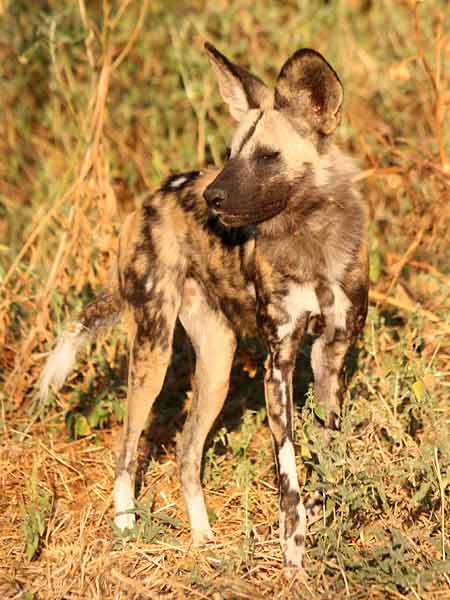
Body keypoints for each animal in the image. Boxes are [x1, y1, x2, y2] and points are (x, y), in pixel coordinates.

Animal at [39, 42, 370, 568]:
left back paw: (202, 538)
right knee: (127, 448)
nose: (213, 196)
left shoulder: (330, 358)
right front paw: (293, 553)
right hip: (152, 352)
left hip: (217, 365)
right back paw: (127, 529)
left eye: (268, 157)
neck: (311, 241)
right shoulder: (279, 365)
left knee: (187, 452)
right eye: (232, 154)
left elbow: (325, 455)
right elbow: (289, 476)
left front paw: (322, 520)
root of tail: (150, 199)